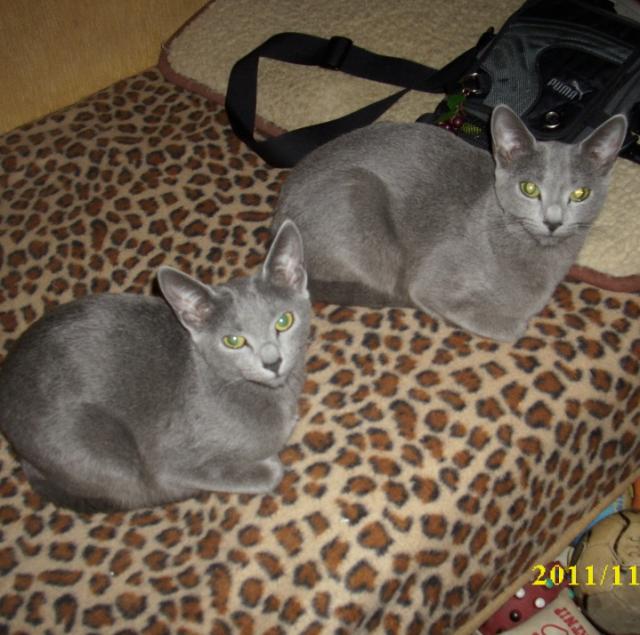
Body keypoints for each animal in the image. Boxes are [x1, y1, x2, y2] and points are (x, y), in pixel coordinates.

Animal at [0, 220, 311, 512]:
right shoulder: (168, 461)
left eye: (284, 321)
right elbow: (270, 471)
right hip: (105, 451)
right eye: (233, 341)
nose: (273, 361)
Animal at [272, 105, 627, 341]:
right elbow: (510, 328)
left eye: (580, 193)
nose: (553, 221)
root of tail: (276, 221)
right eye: (529, 188)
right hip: (358, 194)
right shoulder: (431, 282)